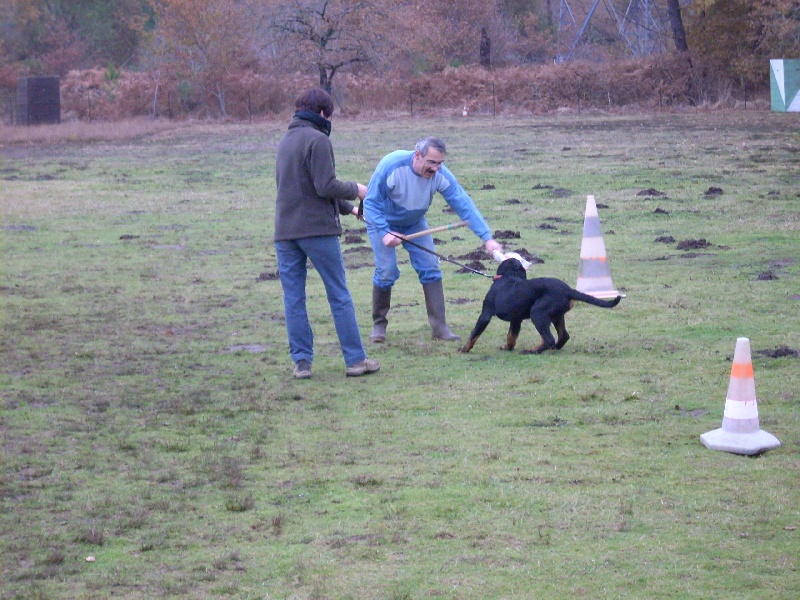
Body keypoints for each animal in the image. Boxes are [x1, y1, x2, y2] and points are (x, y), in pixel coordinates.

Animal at [460, 255, 620, 354]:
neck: (508, 276)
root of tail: (567, 290)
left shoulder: (485, 314)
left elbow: (474, 334)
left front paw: (464, 349)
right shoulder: (516, 320)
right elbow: (511, 336)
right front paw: (507, 347)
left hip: (537, 313)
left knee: (549, 339)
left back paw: (531, 351)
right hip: (556, 316)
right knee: (562, 336)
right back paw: (553, 348)